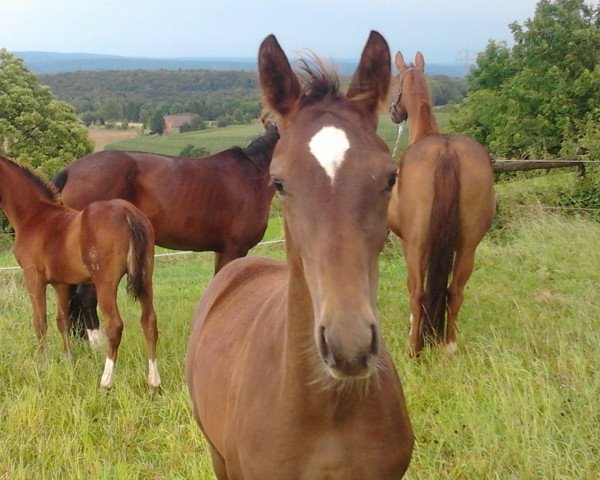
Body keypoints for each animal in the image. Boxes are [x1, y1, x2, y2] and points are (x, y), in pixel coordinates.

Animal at [0, 156, 159, 388]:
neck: (35, 216)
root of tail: (129, 214)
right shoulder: (61, 283)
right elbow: (63, 321)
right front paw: (68, 361)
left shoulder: (33, 278)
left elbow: (40, 322)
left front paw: (42, 366)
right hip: (146, 278)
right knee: (149, 322)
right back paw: (154, 383)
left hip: (105, 284)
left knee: (115, 326)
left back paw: (105, 382)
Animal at [386, 50, 494, 354]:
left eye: (395, 79)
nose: (393, 111)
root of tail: (446, 152)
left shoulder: (407, 243)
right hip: (469, 244)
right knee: (455, 291)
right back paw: (449, 346)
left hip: (417, 244)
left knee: (418, 293)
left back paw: (414, 350)